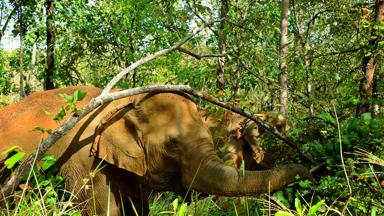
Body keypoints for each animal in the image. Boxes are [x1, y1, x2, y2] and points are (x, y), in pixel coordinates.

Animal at [0, 86, 312, 216]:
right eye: (172, 144)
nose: (310, 169)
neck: (122, 100)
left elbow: (139, 207)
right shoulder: (81, 159)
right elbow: (103, 209)